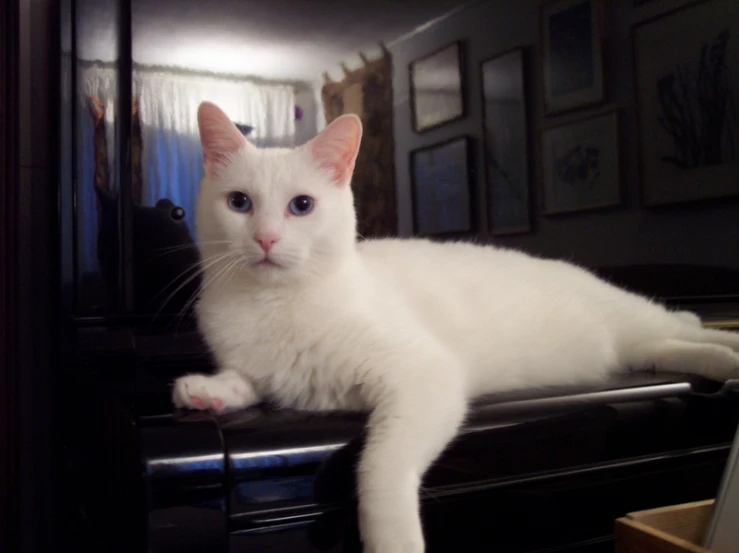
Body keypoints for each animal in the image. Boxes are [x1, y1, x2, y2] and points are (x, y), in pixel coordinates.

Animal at [175, 100, 739, 552]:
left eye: (302, 206)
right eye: (239, 203)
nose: (266, 239)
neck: (272, 304)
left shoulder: (425, 378)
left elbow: (380, 467)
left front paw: (393, 541)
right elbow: (248, 380)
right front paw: (207, 391)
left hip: (632, 321)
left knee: (688, 327)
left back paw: (727, 354)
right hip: (631, 347)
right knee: (669, 343)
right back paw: (723, 360)